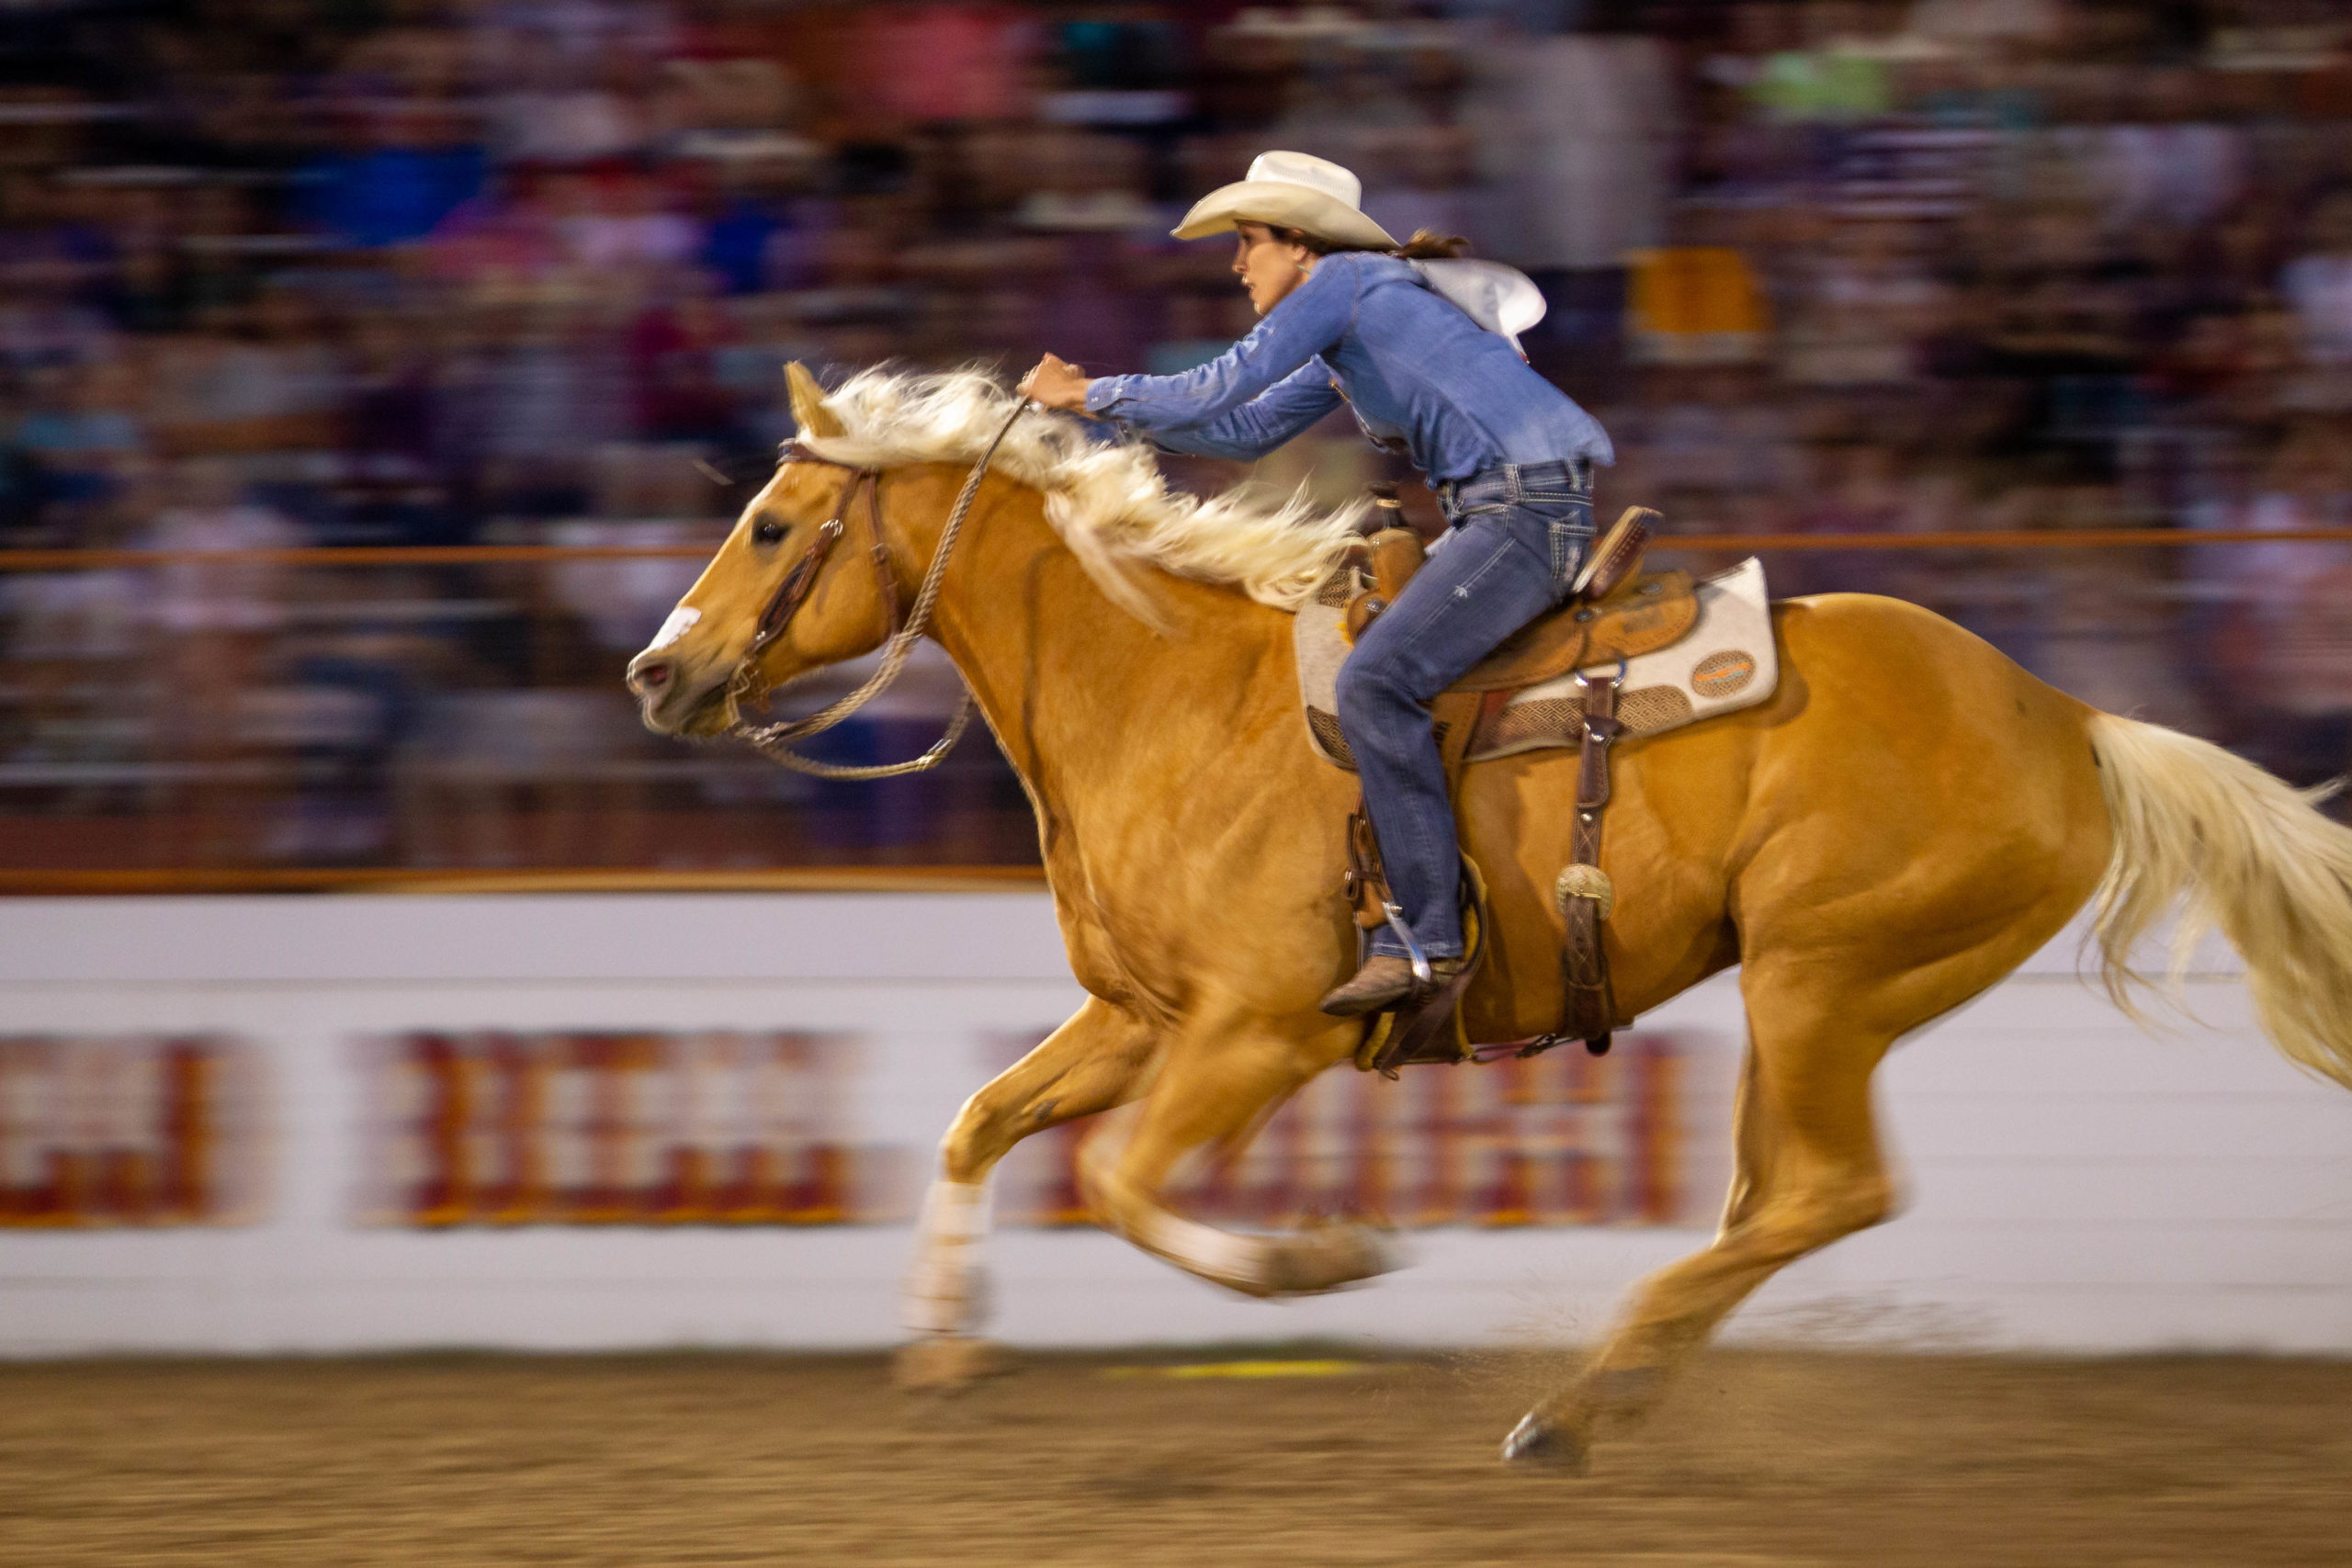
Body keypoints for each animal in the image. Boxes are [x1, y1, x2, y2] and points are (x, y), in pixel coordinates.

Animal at [630, 362, 2352, 1466]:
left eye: (773, 523)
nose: (657, 669)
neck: (1164, 696)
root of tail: (2068, 716)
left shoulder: (1259, 1032)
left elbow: (1120, 1182)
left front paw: (1315, 1266)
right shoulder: (1140, 1018)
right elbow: (981, 1121)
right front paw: (940, 1343)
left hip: (1829, 978)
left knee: (1828, 1192)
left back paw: (1571, 1407)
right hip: (1799, 1001)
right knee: (1769, 1201)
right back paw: (1605, 1394)